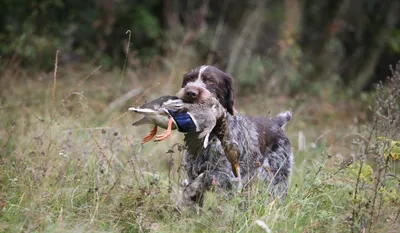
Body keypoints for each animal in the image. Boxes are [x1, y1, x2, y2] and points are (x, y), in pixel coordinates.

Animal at [177, 65, 292, 206]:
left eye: (211, 81)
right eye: (189, 79)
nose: (190, 92)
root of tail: (276, 122)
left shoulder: (228, 177)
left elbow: (205, 177)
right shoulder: (192, 170)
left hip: (277, 180)